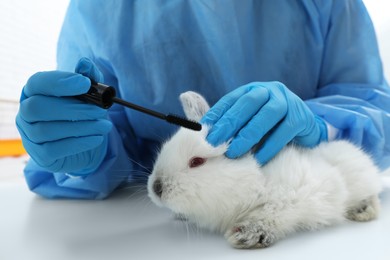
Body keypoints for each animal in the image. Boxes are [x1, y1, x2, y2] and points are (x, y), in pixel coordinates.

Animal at [148, 91, 382, 248]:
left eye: (197, 161)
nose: (156, 188)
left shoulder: (301, 192)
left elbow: (274, 212)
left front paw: (246, 234)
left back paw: (363, 211)